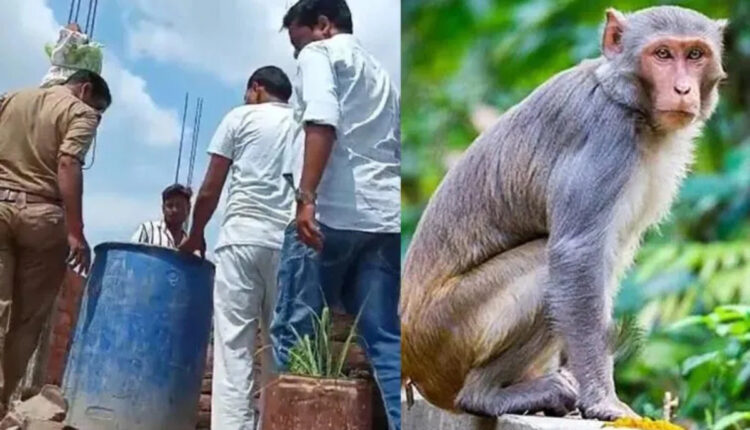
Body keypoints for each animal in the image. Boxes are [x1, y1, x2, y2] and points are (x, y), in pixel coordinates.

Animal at [400, 6, 727, 422]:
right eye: (663, 54)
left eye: (696, 55)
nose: (683, 89)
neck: (626, 103)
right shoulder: (606, 138)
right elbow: (578, 255)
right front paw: (603, 399)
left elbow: (606, 261)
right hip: (449, 333)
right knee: (546, 265)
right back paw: (486, 395)